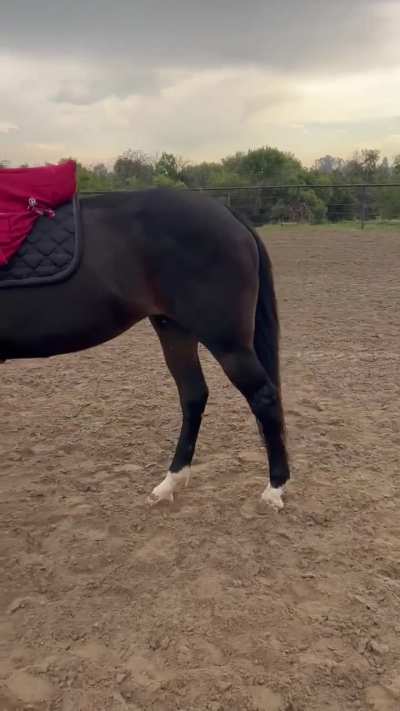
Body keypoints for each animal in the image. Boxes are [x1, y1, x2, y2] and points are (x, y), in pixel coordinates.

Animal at [0, 187, 290, 509]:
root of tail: (225, 211)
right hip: (174, 330)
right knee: (193, 395)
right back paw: (171, 481)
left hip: (227, 343)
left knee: (263, 397)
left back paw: (274, 489)